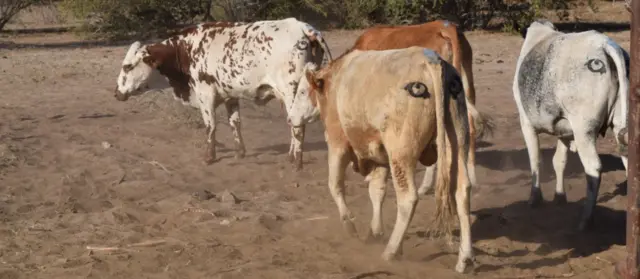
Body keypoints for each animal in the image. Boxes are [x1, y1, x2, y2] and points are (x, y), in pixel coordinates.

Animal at [114, 18, 332, 171]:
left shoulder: (205, 94)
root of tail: (304, 28)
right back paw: (291, 156)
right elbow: (235, 123)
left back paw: (296, 162)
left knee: (298, 127)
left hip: (292, 92)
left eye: (127, 66)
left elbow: (210, 126)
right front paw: (239, 152)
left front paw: (209, 157)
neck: (186, 50)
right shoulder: (230, 95)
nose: (117, 93)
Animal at [304, 46, 476, 274]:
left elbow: (335, 185)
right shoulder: (378, 153)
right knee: (462, 190)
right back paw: (464, 258)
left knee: (408, 198)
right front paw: (375, 231)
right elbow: (377, 192)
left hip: (401, 153)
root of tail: (430, 60)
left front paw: (349, 224)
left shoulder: (337, 142)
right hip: (456, 140)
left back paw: (391, 251)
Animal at [512, 20, 628, 233]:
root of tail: (603, 44)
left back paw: (585, 221)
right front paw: (559, 196)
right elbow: (559, 161)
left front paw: (535, 198)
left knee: (593, 168)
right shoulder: (565, 131)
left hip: (584, 130)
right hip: (620, 125)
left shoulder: (526, 123)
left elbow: (536, 161)